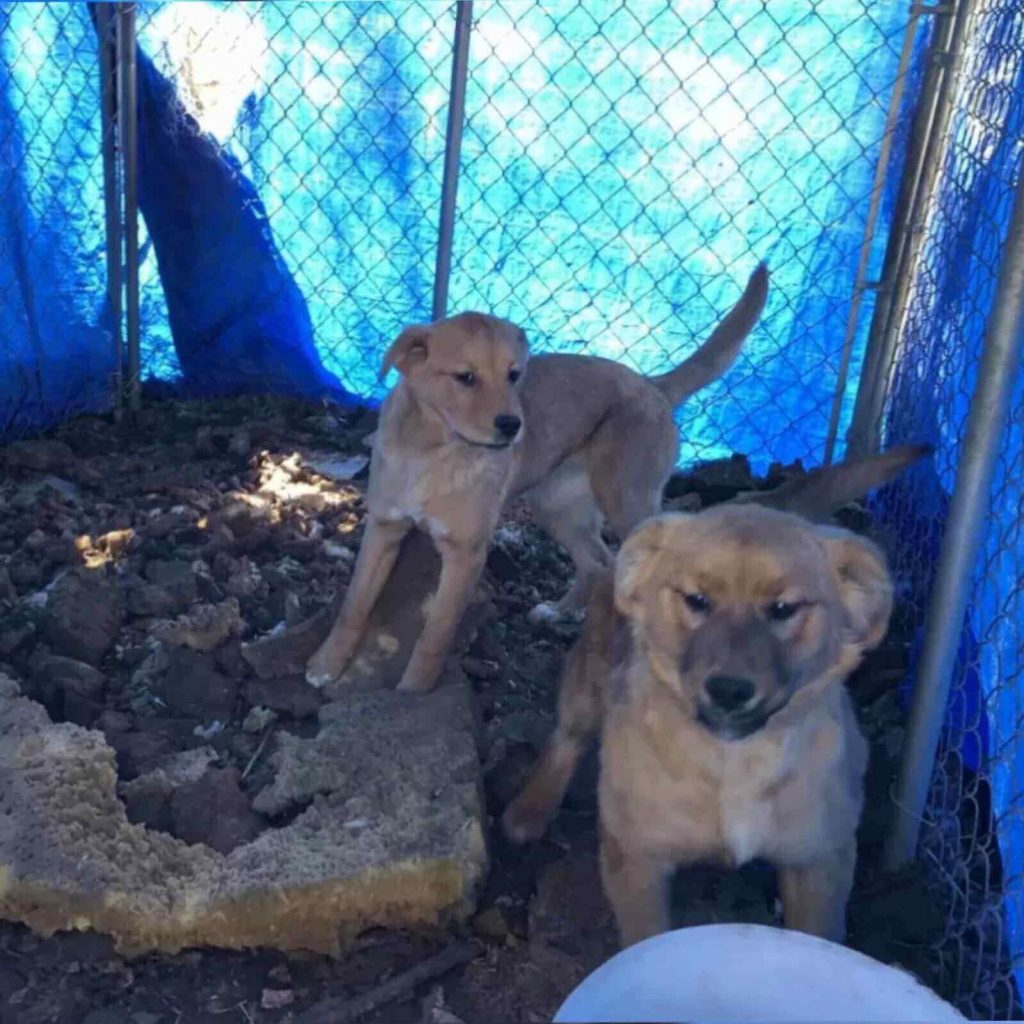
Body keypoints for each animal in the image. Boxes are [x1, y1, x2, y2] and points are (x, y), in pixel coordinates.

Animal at [303, 266, 770, 696]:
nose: (513, 426)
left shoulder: (465, 554)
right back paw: (561, 613)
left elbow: (435, 632)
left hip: (627, 501)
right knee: (597, 561)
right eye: (465, 377)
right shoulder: (383, 529)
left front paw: (413, 693)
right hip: (556, 508)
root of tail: (652, 385)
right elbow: (354, 606)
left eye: (514, 374)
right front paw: (326, 664)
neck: (433, 453)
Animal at [499, 487, 901, 942]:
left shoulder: (820, 861)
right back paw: (529, 811)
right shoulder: (637, 860)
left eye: (783, 608)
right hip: (588, 681)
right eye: (696, 601)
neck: (734, 763)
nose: (729, 690)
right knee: (566, 740)